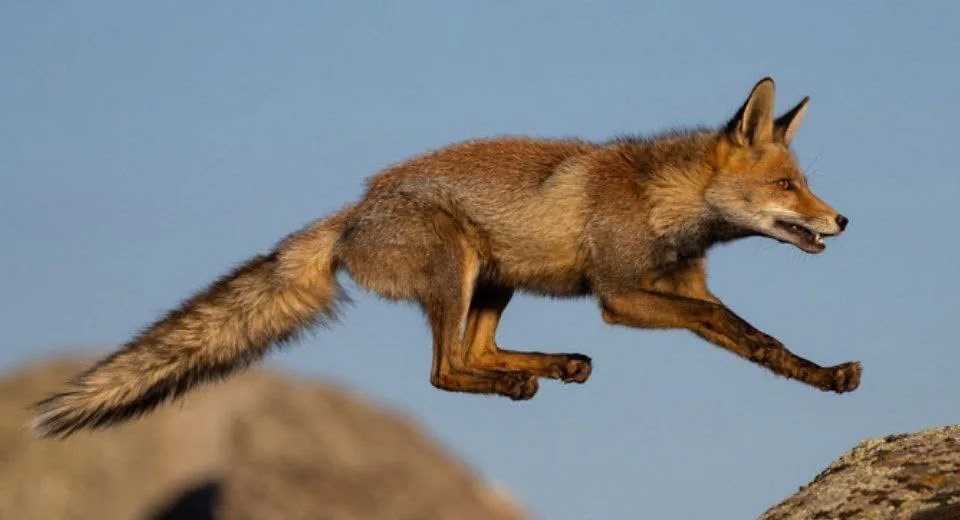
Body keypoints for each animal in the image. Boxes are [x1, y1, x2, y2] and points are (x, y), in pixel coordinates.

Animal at [32, 77, 859, 438]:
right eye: (788, 185)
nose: (842, 219)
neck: (666, 205)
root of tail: (355, 208)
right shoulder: (622, 296)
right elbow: (739, 326)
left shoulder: (682, 288)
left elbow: (762, 342)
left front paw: (822, 377)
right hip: (455, 266)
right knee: (445, 369)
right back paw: (526, 379)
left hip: (496, 279)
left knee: (476, 353)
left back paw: (549, 365)